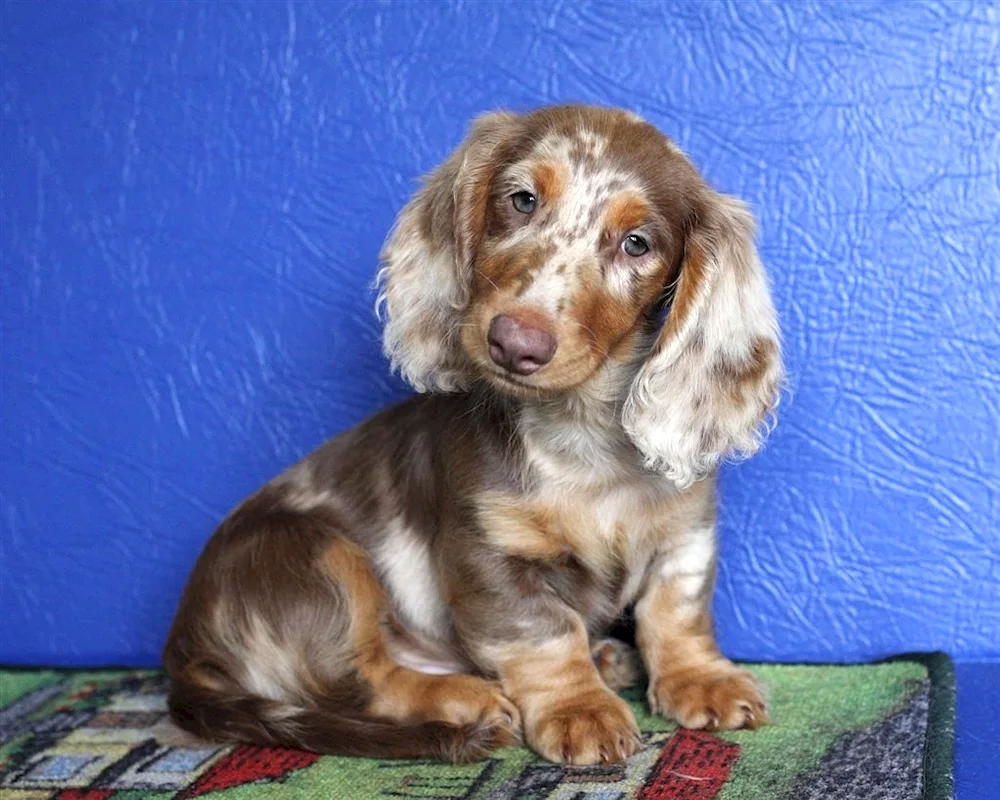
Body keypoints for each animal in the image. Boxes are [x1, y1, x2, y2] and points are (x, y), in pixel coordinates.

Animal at [164, 103, 784, 764]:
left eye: (637, 243)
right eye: (522, 199)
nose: (516, 343)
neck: (582, 439)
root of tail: (182, 658)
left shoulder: (686, 532)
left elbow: (675, 610)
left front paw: (701, 679)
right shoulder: (488, 553)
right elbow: (543, 634)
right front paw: (579, 708)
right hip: (319, 557)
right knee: (364, 681)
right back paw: (465, 695)